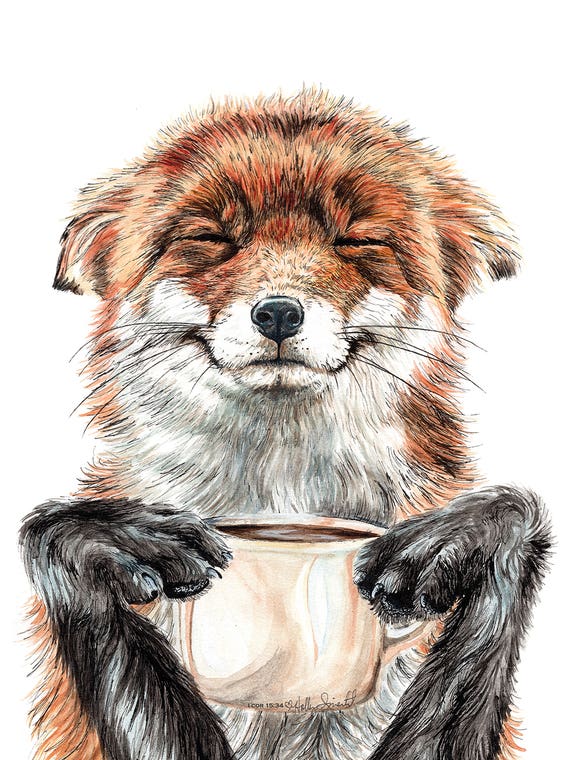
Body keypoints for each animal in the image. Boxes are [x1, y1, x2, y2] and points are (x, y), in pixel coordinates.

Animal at [20, 90, 550, 760]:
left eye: (356, 240)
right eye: (212, 237)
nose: (277, 313)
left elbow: (509, 516)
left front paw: (465, 541)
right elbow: (55, 534)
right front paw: (109, 538)